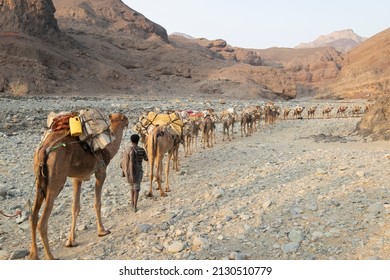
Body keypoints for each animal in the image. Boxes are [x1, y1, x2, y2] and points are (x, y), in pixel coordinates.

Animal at [29, 112, 129, 260]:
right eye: (124, 118)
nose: (129, 121)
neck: (108, 149)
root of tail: (43, 150)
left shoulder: (77, 178)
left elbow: (75, 207)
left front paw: (71, 241)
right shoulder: (101, 172)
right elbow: (97, 203)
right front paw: (102, 231)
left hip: (39, 181)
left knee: (33, 215)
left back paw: (34, 254)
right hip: (56, 180)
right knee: (43, 221)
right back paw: (50, 256)